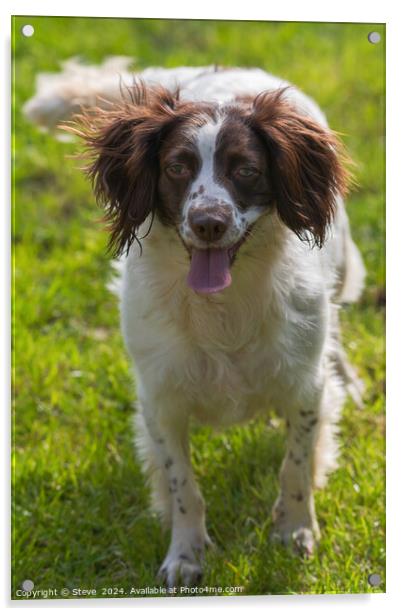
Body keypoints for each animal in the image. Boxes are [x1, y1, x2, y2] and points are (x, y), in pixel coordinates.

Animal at [24, 62, 366, 588]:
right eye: (177, 168)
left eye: (246, 169)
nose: (208, 222)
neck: (222, 306)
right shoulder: (160, 399)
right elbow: (182, 484)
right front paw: (185, 554)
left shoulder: (304, 388)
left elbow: (295, 466)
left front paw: (294, 532)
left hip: (343, 261)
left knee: (338, 321)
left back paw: (345, 372)